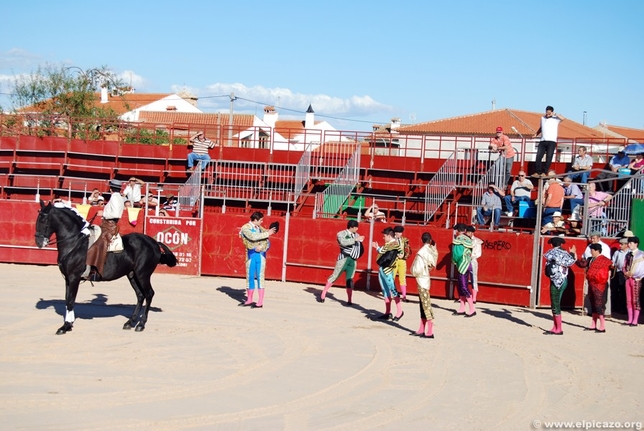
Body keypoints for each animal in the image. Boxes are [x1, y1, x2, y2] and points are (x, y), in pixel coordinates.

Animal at [34, 201, 177, 336]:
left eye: (43, 220)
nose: (39, 242)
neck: (75, 243)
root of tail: (154, 243)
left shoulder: (74, 277)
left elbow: (70, 300)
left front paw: (64, 327)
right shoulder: (67, 278)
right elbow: (67, 299)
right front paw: (68, 325)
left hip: (143, 275)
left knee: (149, 294)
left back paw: (141, 324)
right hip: (132, 275)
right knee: (140, 296)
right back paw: (129, 322)